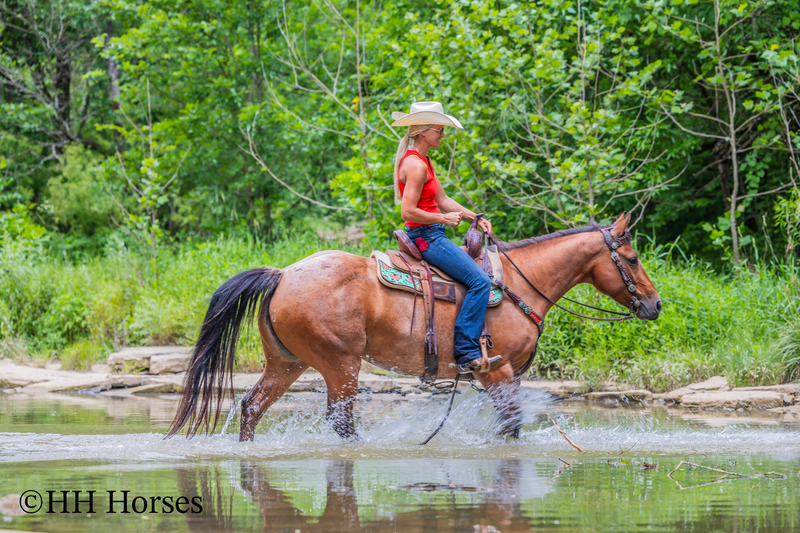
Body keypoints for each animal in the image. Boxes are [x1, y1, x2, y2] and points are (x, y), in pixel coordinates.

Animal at [166, 212, 661, 441]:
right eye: (634, 258)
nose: (655, 304)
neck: (521, 284)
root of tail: (283, 274)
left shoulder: (509, 376)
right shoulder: (497, 371)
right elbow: (511, 426)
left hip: (287, 364)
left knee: (251, 407)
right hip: (340, 364)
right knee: (340, 421)